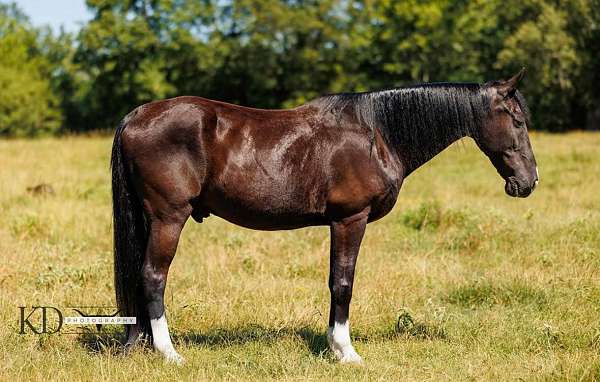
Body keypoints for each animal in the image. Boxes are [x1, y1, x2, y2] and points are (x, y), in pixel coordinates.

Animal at [111, 68, 540, 364]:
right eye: (517, 120)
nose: (528, 181)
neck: (376, 134)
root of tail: (136, 116)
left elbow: (337, 282)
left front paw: (336, 346)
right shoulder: (350, 219)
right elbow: (343, 283)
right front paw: (345, 352)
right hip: (169, 218)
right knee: (153, 277)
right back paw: (169, 353)